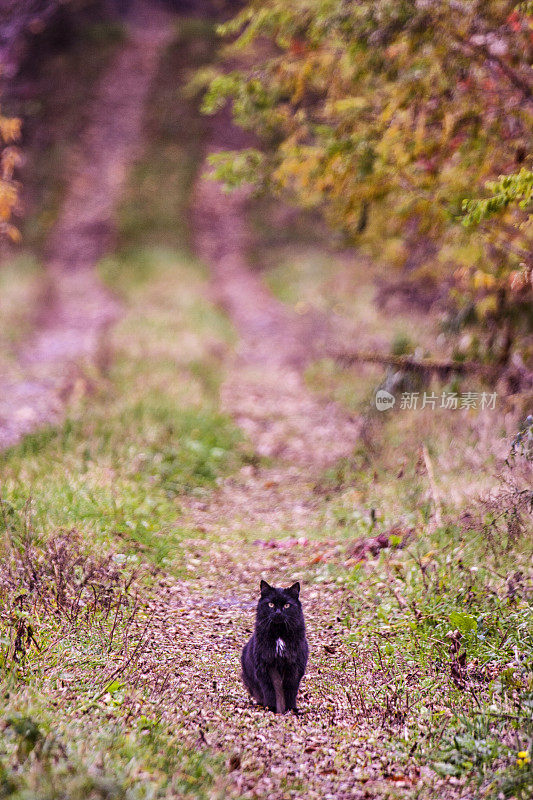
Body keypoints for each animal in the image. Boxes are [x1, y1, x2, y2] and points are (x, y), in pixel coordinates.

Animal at [241, 580, 308, 716]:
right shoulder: (264, 667)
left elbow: (290, 691)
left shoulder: (294, 668)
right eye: (271, 604)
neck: (279, 634)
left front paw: (291, 709)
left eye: (287, 605)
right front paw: (272, 708)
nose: (278, 612)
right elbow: (270, 691)